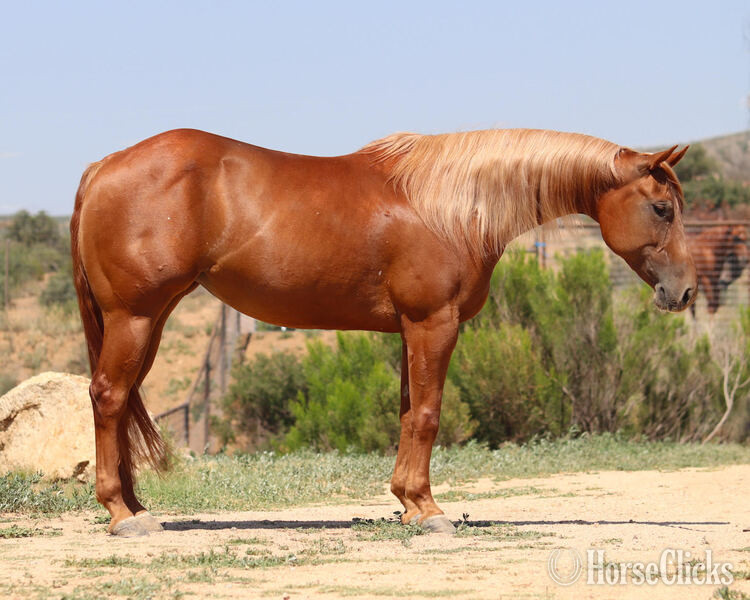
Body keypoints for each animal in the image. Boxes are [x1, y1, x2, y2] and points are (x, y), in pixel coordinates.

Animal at [71, 128, 696, 536]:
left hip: (149, 320)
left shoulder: (408, 331)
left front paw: (408, 504)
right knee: (108, 397)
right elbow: (428, 415)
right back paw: (121, 515)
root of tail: (104, 164)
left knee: (123, 402)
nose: (685, 292)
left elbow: (406, 413)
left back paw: (137, 508)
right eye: (662, 209)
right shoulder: (433, 324)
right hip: (136, 317)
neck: (450, 205)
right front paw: (430, 510)